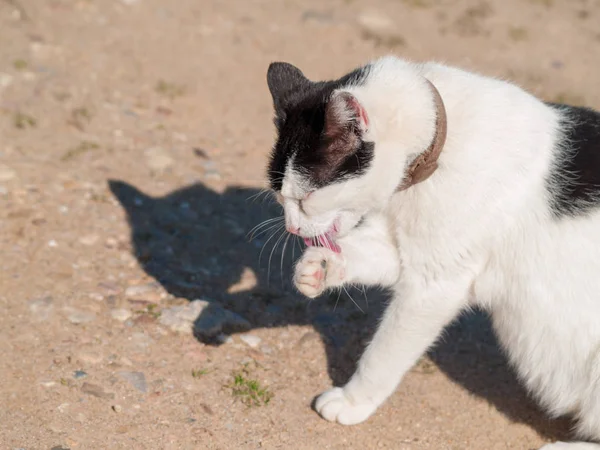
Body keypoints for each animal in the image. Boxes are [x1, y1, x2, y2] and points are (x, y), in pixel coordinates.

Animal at [264, 57, 600, 450]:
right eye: (279, 196)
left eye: (305, 198)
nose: (291, 228)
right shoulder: (405, 251)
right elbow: (364, 253)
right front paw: (318, 268)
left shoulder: (434, 285)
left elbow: (383, 354)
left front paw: (352, 400)